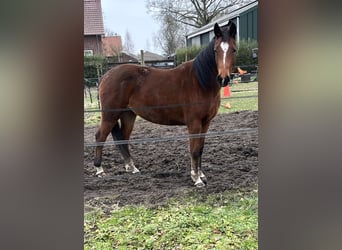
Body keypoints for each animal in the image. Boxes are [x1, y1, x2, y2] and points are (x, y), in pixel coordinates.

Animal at [93, 21, 238, 187]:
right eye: (215, 50)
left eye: (233, 50)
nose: (223, 78)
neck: (200, 82)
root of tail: (106, 76)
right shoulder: (194, 123)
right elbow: (194, 150)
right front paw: (196, 179)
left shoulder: (206, 122)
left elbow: (200, 149)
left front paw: (202, 175)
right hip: (110, 115)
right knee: (100, 137)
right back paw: (99, 170)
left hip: (128, 115)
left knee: (123, 138)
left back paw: (132, 168)